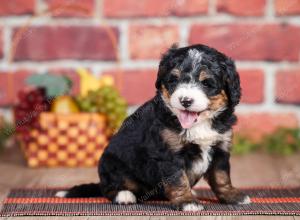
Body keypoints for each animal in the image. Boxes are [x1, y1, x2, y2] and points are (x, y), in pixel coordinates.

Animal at [56, 43, 251, 211]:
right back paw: (124, 195)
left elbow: (221, 176)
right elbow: (178, 179)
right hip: (111, 163)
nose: (185, 100)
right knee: (109, 188)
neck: (199, 123)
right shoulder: (169, 153)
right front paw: (187, 201)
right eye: (174, 80)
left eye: (206, 83)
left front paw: (233, 196)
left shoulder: (220, 147)